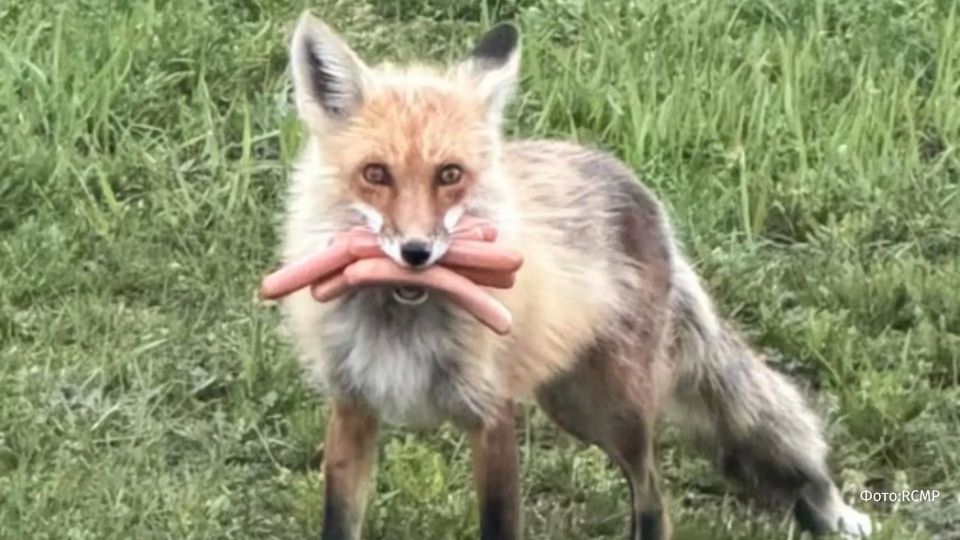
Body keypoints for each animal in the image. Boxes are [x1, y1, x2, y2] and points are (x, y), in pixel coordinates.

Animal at [276, 11, 873, 540]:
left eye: (450, 175)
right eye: (376, 174)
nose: (416, 253)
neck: (401, 320)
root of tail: (638, 189)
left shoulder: (492, 413)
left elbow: (500, 525)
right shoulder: (352, 408)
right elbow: (338, 521)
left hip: (612, 411)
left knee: (655, 500)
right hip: (569, 400)